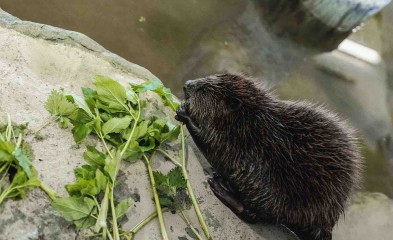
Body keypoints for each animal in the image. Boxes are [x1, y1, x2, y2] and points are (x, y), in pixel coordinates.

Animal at [175, 74, 362, 240]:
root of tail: (327, 224)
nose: (186, 84)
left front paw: (184, 111)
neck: (250, 120)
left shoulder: (242, 144)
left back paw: (219, 185)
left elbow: (212, 144)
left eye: (204, 89)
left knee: (255, 215)